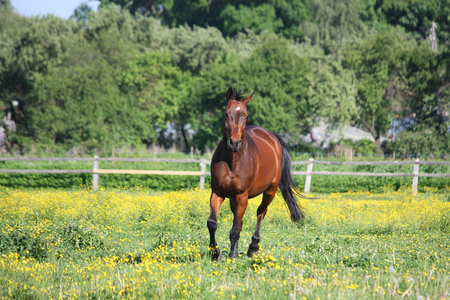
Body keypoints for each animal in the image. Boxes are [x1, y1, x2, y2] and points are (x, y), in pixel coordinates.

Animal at [207, 87, 306, 260]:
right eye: (226, 113)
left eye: (245, 115)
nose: (234, 143)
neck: (233, 161)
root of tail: (272, 138)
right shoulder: (218, 192)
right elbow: (212, 223)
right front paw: (215, 252)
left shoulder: (242, 196)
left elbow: (235, 228)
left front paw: (232, 256)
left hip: (270, 191)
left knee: (261, 212)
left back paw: (253, 247)